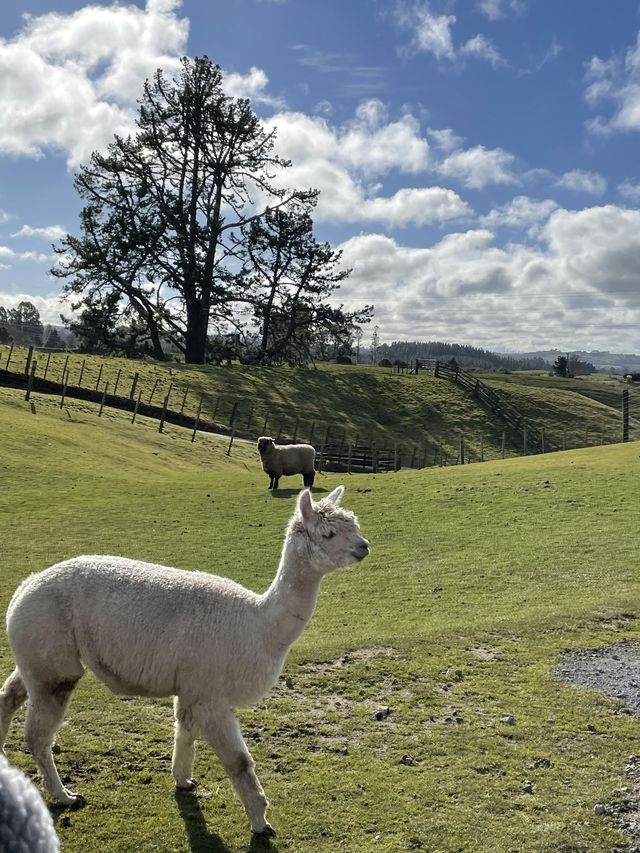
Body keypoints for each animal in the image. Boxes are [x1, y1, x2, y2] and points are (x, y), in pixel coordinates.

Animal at [0, 482, 370, 836]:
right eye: (329, 533)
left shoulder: (191, 686)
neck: (257, 626)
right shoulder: (210, 694)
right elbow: (239, 762)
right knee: (37, 735)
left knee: (9, 695)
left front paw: (184, 780)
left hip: (37, 654)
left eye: (355, 525)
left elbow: (184, 730)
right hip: (51, 661)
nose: (364, 547)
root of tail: (23, 588)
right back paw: (65, 796)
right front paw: (261, 823)